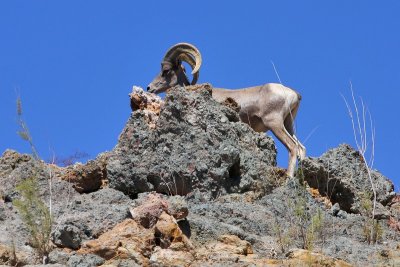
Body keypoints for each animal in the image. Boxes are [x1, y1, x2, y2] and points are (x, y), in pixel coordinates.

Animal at [147, 42, 306, 178]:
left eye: (166, 70)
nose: (149, 88)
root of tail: (294, 94)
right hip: (288, 124)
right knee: (301, 148)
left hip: (274, 124)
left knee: (293, 147)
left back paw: (289, 177)